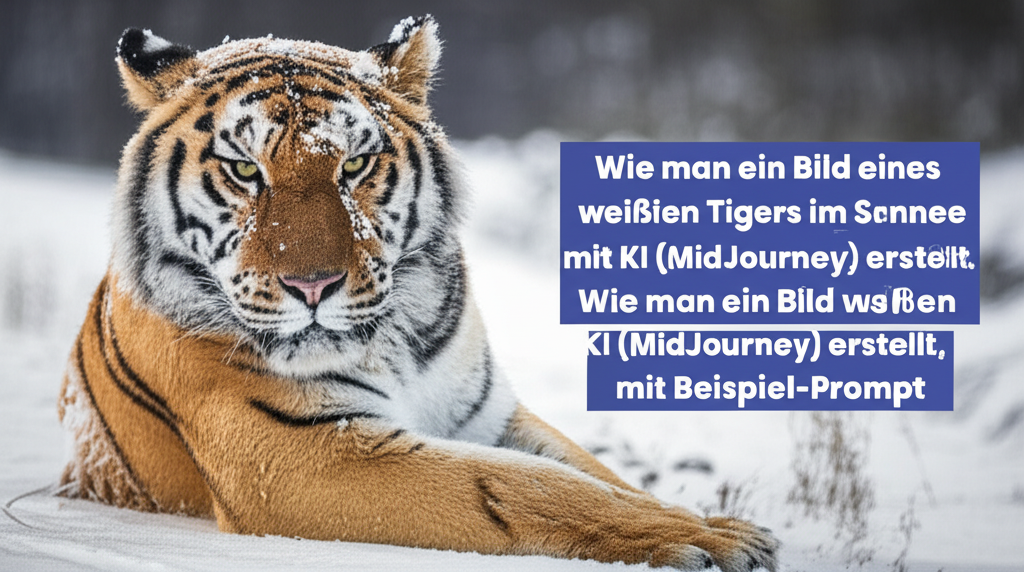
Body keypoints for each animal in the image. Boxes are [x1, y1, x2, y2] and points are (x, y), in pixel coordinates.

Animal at [57, 16, 779, 571]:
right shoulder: (302, 454)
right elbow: (530, 485)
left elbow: (590, 472)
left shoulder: (486, 415)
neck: (390, 342)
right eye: (243, 170)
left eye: (354, 164)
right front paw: (712, 537)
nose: (313, 285)